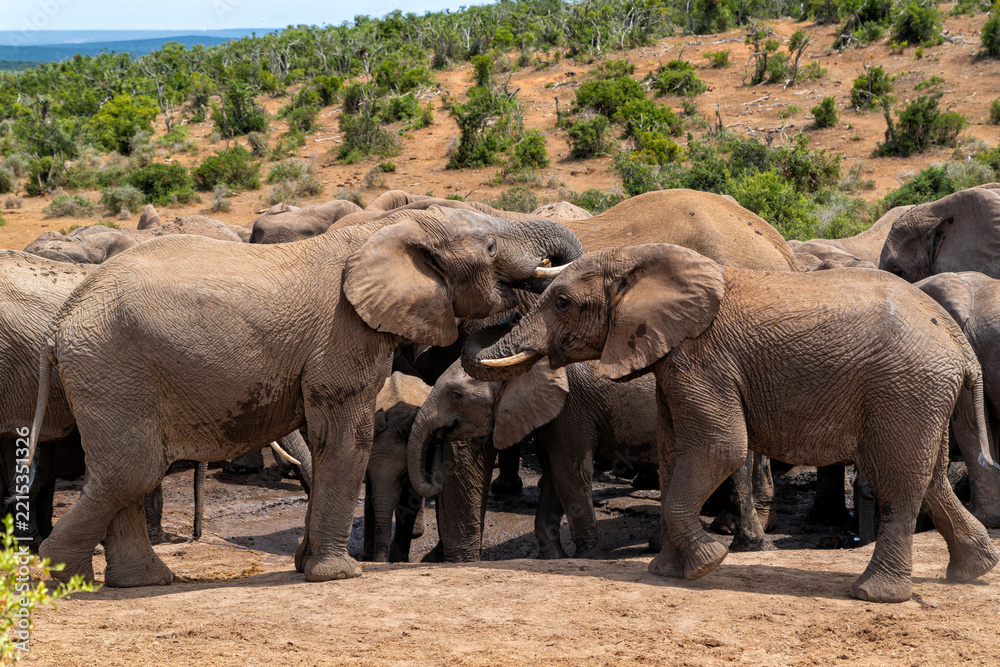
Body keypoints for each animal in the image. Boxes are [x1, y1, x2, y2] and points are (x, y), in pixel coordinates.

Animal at [363, 372, 432, 563]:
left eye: (403, 474)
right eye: (367, 475)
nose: (380, 562)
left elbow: (410, 500)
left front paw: (398, 559)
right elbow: (370, 499)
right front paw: (366, 557)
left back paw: (416, 533)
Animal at [467, 244, 1000, 603]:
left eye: (561, 303)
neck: (644, 259)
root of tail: (960, 346)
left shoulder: (702, 357)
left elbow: (718, 447)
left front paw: (708, 564)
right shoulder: (673, 362)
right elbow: (673, 454)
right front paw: (665, 572)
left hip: (904, 389)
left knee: (897, 478)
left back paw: (873, 594)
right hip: (920, 395)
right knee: (930, 476)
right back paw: (973, 571)